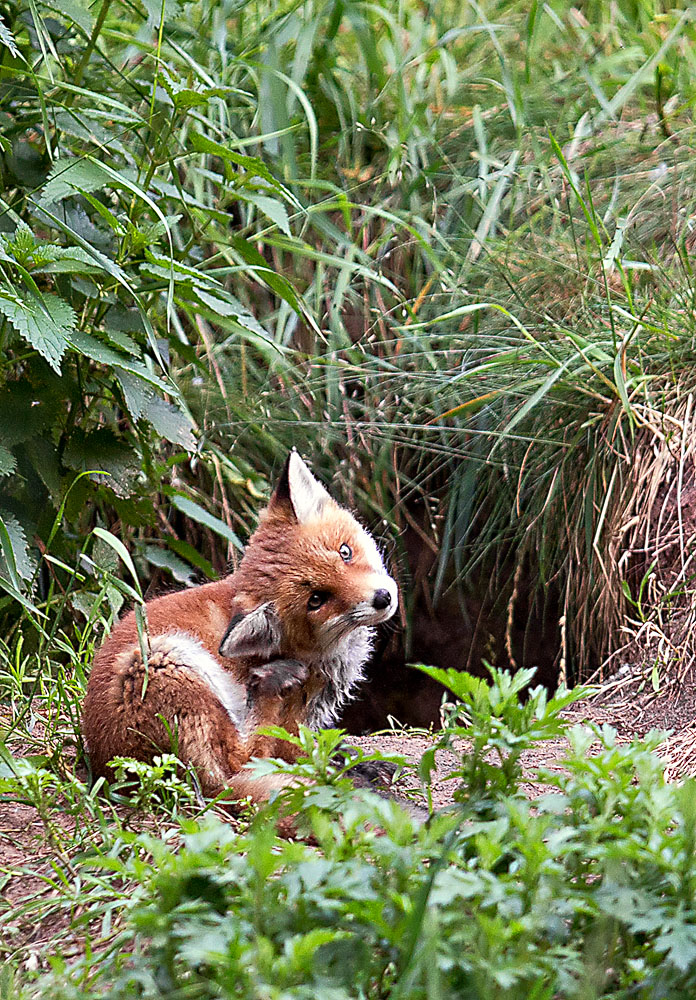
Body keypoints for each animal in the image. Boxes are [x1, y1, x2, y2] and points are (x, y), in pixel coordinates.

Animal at [82, 451, 399, 807]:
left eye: (345, 552)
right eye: (317, 600)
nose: (383, 598)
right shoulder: (294, 726)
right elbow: (298, 754)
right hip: (163, 662)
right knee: (241, 760)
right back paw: (270, 683)